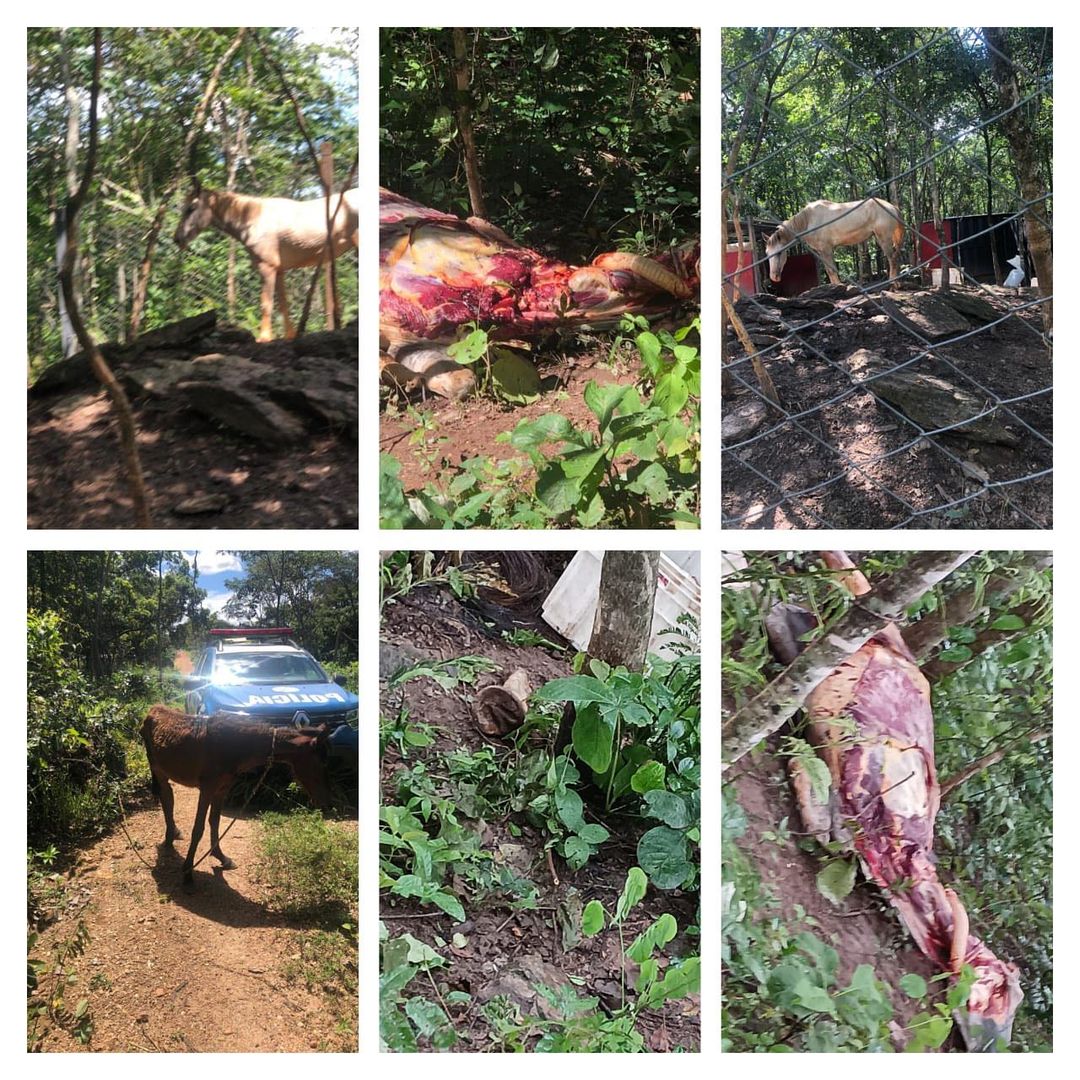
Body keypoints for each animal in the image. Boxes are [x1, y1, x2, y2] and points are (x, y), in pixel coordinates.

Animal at [141, 699, 330, 885]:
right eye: (320, 763)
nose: (324, 800)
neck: (234, 745)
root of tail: (152, 710)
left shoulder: (222, 789)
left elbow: (215, 821)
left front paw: (221, 857)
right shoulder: (207, 789)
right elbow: (198, 829)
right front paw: (188, 872)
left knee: (168, 799)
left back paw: (173, 833)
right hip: (158, 770)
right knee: (166, 798)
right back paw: (170, 838)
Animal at [172, 181, 358, 341]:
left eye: (191, 208)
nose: (177, 238)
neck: (252, 220)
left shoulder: (267, 268)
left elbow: (266, 304)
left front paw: (264, 338)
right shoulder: (279, 270)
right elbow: (283, 304)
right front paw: (289, 335)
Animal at [764, 196, 907, 285]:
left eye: (779, 253)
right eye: (767, 254)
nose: (773, 277)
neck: (809, 220)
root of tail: (892, 207)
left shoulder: (827, 249)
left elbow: (832, 270)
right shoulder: (821, 252)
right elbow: (829, 271)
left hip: (884, 238)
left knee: (892, 259)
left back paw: (893, 283)